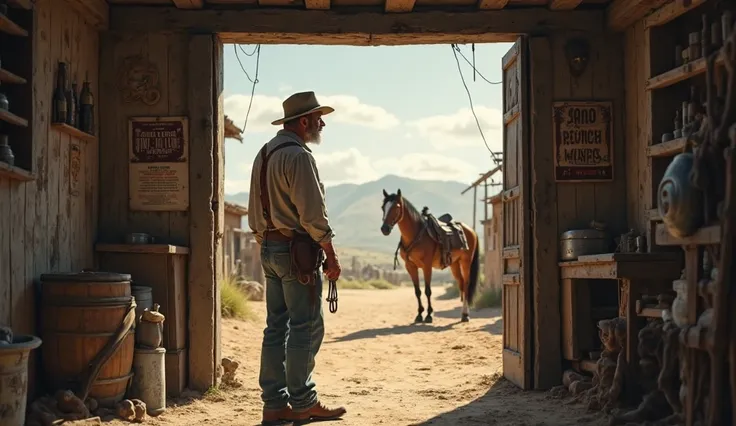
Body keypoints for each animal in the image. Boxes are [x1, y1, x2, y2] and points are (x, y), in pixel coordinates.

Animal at [380, 189, 484, 322]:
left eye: (396, 207)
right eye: (383, 207)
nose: (384, 229)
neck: (416, 235)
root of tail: (471, 230)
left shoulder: (427, 266)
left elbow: (428, 291)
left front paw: (429, 315)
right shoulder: (410, 266)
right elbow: (417, 291)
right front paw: (419, 314)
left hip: (466, 262)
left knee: (466, 284)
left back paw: (465, 314)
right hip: (454, 264)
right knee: (461, 283)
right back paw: (462, 313)